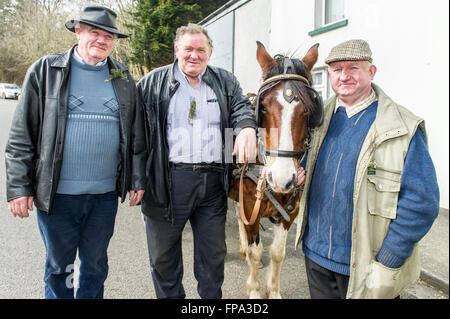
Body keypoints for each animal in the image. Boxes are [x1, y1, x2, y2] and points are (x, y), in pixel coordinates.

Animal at [229, 41, 324, 298]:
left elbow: (277, 253)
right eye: (263, 107)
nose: (282, 180)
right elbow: (256, 252)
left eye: (308, 110)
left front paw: (273, 291)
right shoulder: (249, 204)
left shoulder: (289, 212)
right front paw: (254, 290)